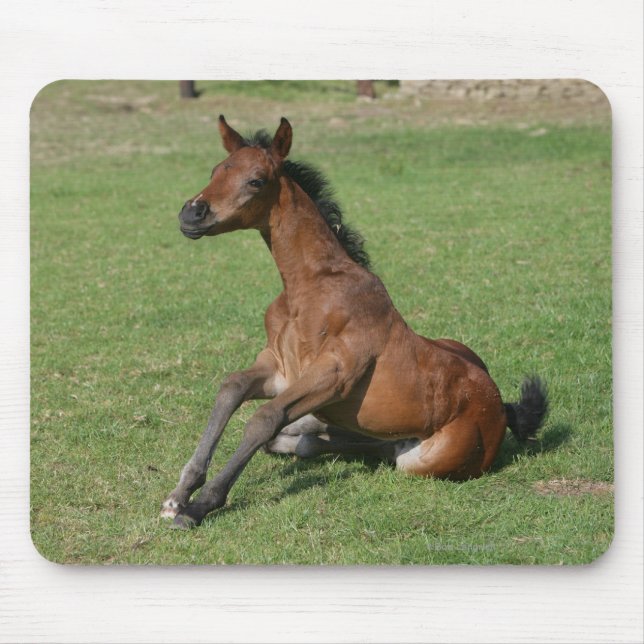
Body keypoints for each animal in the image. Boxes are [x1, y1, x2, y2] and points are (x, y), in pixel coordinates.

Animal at [162, 115, 548, 529]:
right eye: (216, 171)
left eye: (256, 181)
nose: (191, 214)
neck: (308, 288)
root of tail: (499, 405)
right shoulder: (279, 369)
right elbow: (231, 389)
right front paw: (178, 494)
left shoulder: (334, 374)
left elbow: (265, 417)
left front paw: (199, 506)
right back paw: (305, 433)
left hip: (419, 461)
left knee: (371, 448)